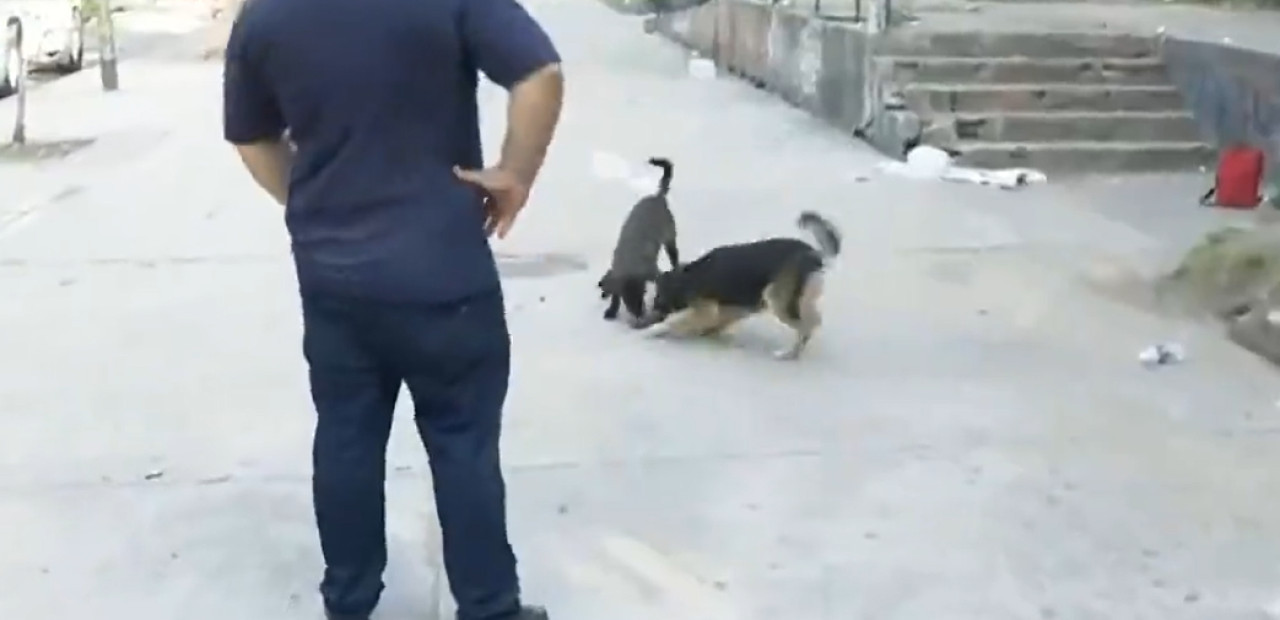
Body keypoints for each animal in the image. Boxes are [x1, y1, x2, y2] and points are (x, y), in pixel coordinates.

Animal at [599, 157, 680, 324]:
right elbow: (614, 295)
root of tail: (658, 197)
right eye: (626, 300)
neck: (630, 263)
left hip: (670, 239)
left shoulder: (652, 273)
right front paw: (612, 309)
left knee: (675, 259)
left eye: (642, 295)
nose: (639, 314)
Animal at [640, 211, 839, 361]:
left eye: (657, 303)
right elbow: (713, 323)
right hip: (795, 300)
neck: (688, 277)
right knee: (814, 320)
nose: (641, 321)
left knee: (807, 326)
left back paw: (788, 353)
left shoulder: (706, 310)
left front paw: (653, 331)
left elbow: (674, 321)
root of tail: (815, 255)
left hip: (776, 298)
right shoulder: (734, 308)